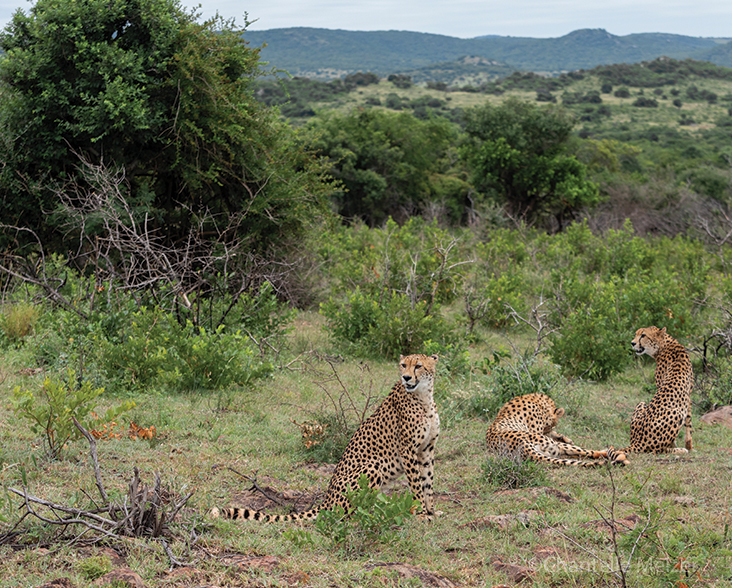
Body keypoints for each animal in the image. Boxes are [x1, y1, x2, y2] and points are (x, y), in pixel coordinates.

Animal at [212, 354, 440, 524]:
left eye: (418, 366)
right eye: (403, 365)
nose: (406, 378)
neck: (423, 397)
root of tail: (327, 498)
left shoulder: (427, 449)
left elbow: (428, 481)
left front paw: (431, 511)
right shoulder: (408, 450)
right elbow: (417, 484)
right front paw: (420, 512)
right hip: (373, 466)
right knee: (346, 513)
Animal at [486, 392, 628, 470]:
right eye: (550, 425)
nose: (549, 429)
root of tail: (523, 447)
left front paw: (563, 436)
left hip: (553, 451)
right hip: (555, 446)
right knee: (590, 452)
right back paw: (616, 452)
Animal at [616, 326, 692, 454]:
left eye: (643, 335)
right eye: (636, 334)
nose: (632, 343)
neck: (664, 345)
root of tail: (636, 441)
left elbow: (689, 422)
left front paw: (688, 446)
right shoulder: (688, 396)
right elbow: (689, 422)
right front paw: (688, 446)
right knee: (657, 450)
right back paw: (679, 449)